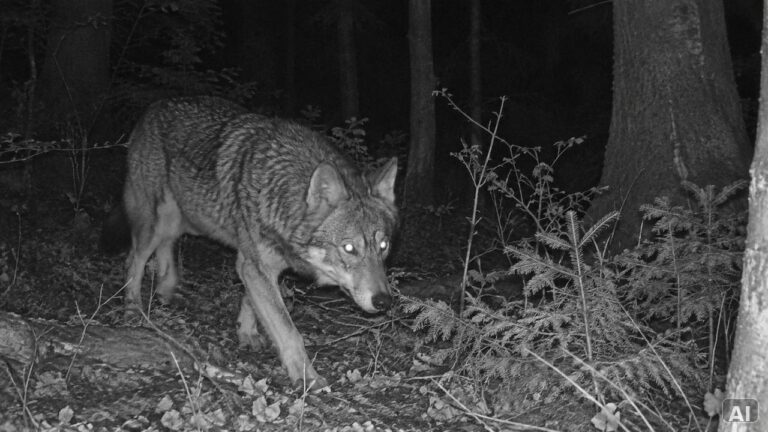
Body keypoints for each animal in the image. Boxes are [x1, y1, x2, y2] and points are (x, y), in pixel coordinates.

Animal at [106, 96, 398, 387]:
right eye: (349, 248)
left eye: (383, 247)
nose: (384, 301)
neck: (278, 192)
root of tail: (156, 105)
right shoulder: (255, 265)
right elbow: (289, 331)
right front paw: (308, 378)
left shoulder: (254, 265)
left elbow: (250, 301)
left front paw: (246, 333)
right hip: (153, 223)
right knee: (134, 260)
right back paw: (133, 310)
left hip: (183, 221)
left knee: (166, 248)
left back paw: (166, 290)